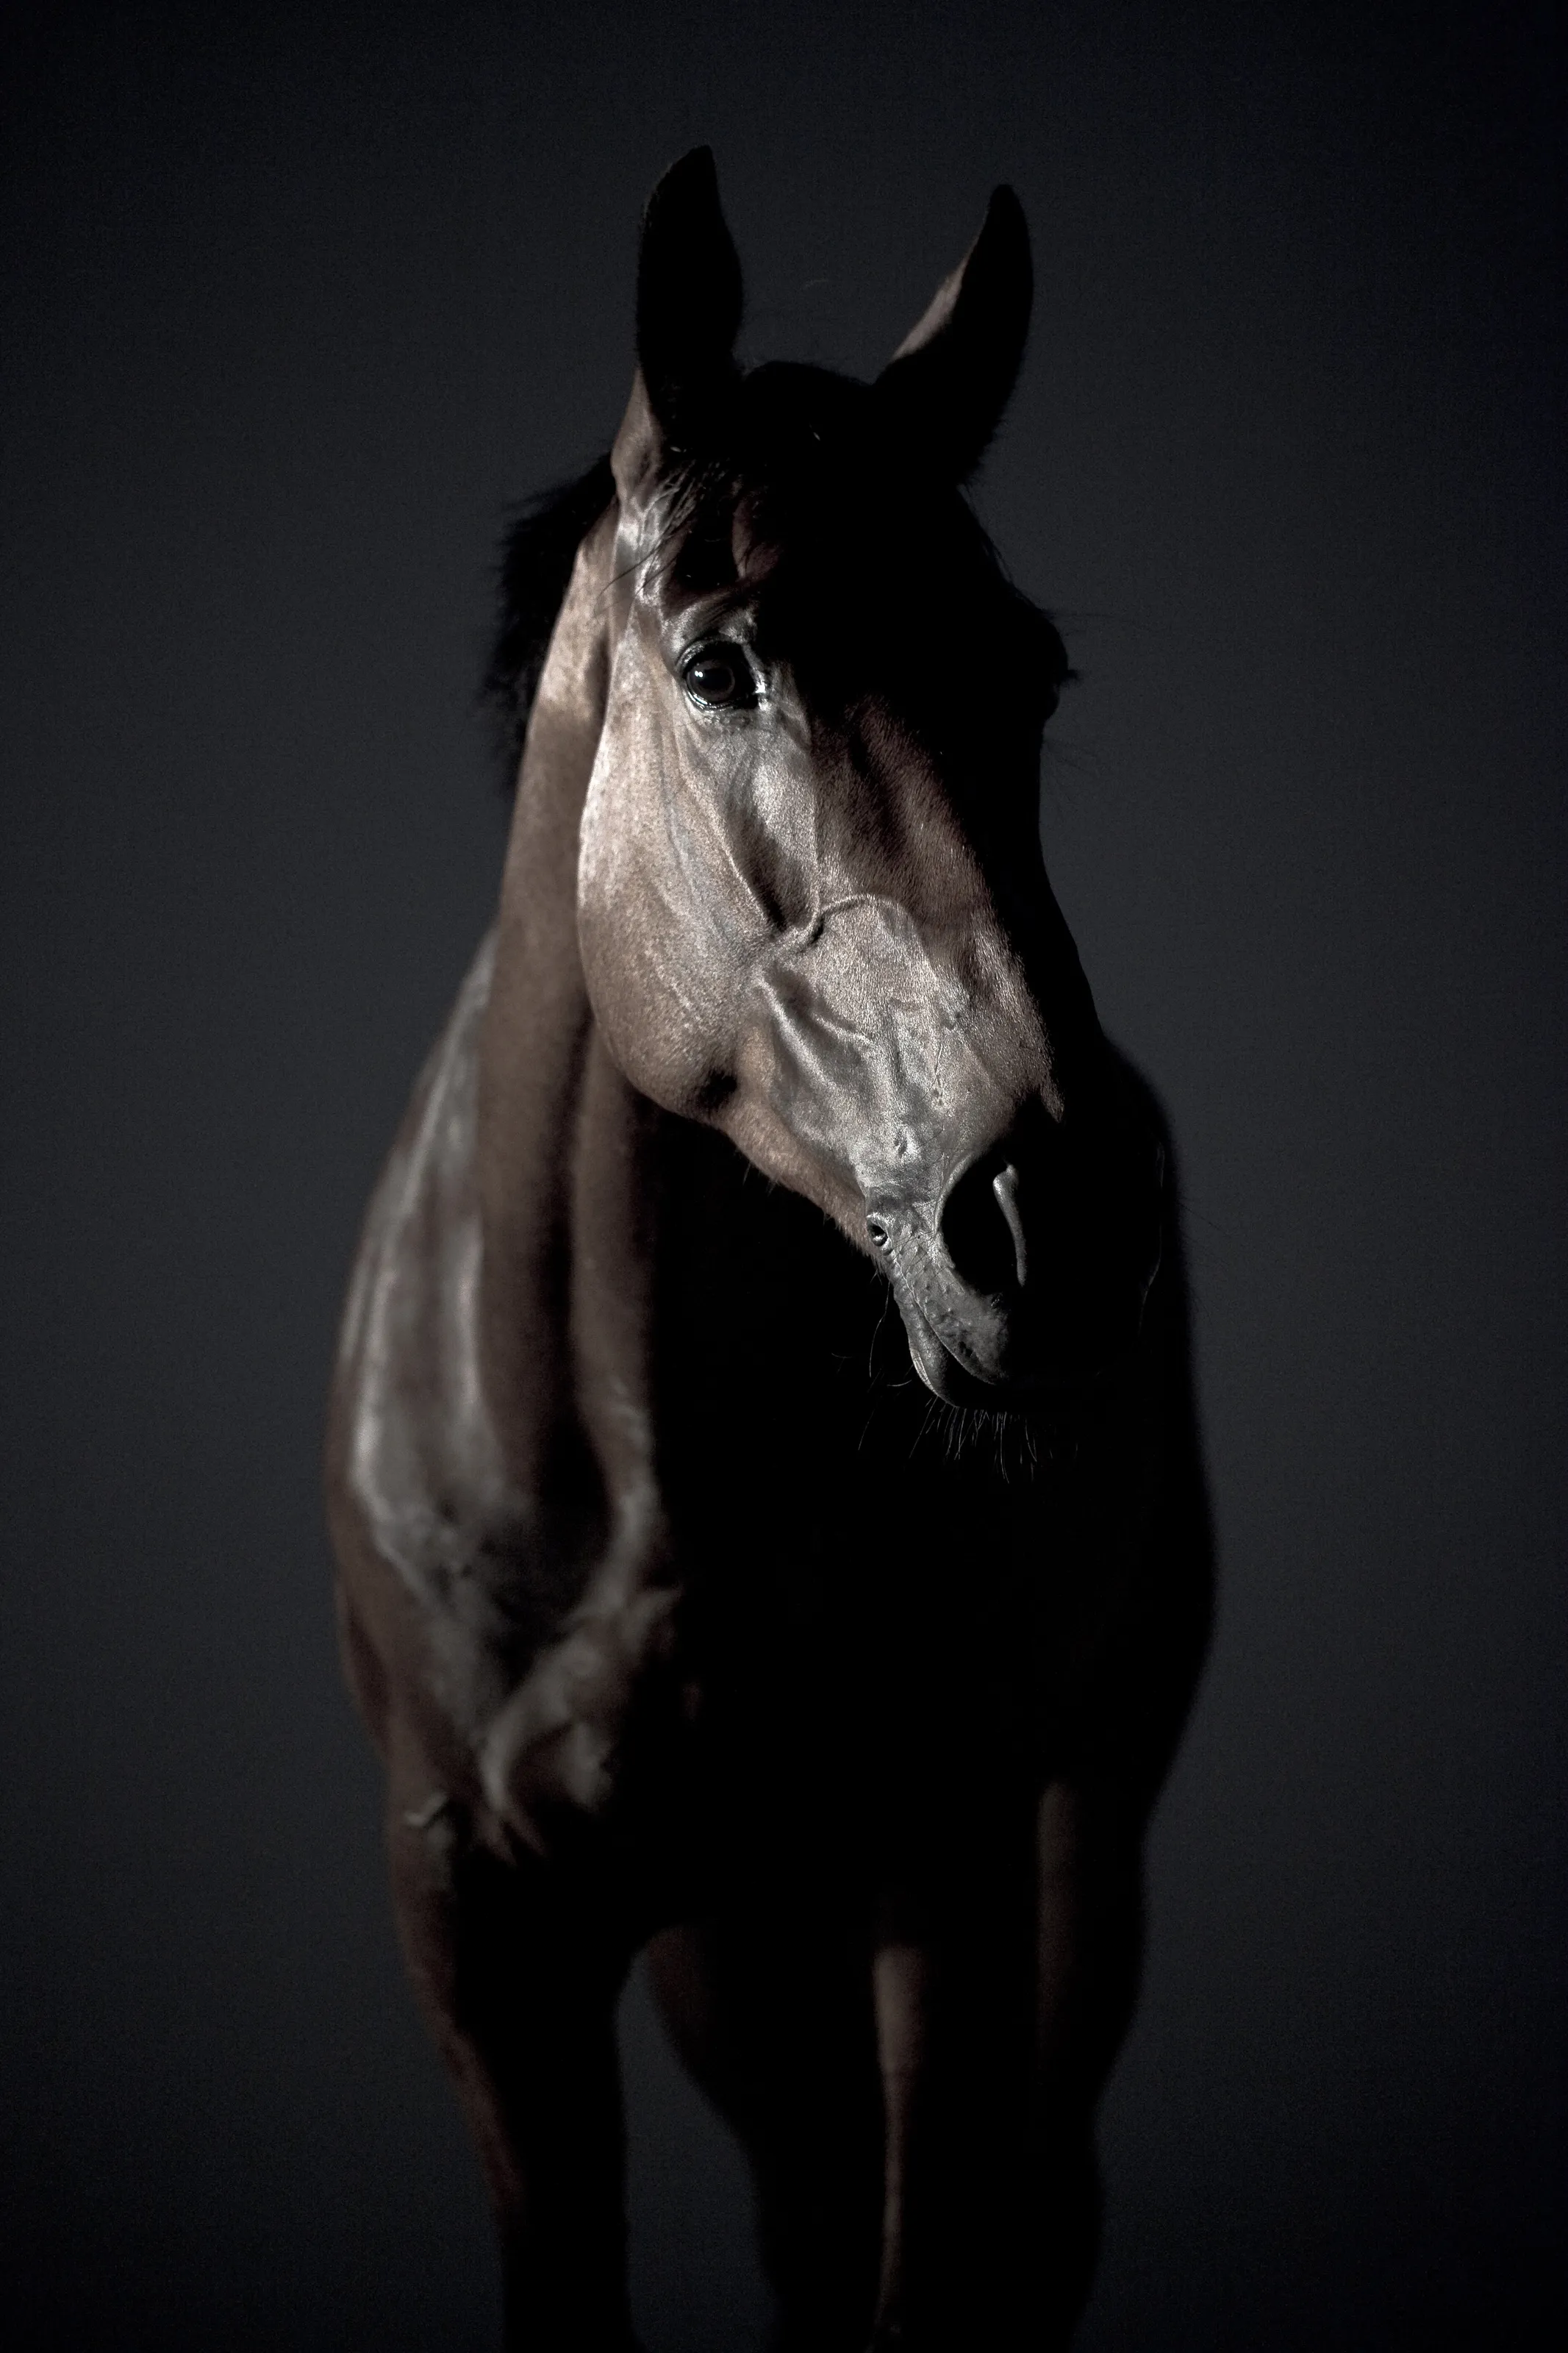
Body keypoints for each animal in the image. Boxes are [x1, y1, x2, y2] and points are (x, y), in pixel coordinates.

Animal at [326, 148, 1212, 2353]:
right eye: (723, 663)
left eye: (1029, 671)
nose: (1054, 1221)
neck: (624, 1462)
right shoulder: (486, 1937)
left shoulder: (943, 1867)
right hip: (730, 1947)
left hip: (1078, 1832)